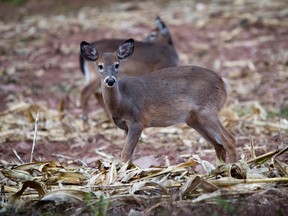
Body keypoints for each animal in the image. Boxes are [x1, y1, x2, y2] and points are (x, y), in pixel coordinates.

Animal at [80, 38, 236, 164]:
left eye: (117, 64)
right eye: (100, 65)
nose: (110, 80)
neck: (121, 101)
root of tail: (222, 83)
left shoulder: (137, 122)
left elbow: (125, 155)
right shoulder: (126, 127)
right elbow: (130, 156)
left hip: (206, 110)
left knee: (229, 139)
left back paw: (232, 171)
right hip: (192, 119)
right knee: (219, 145)